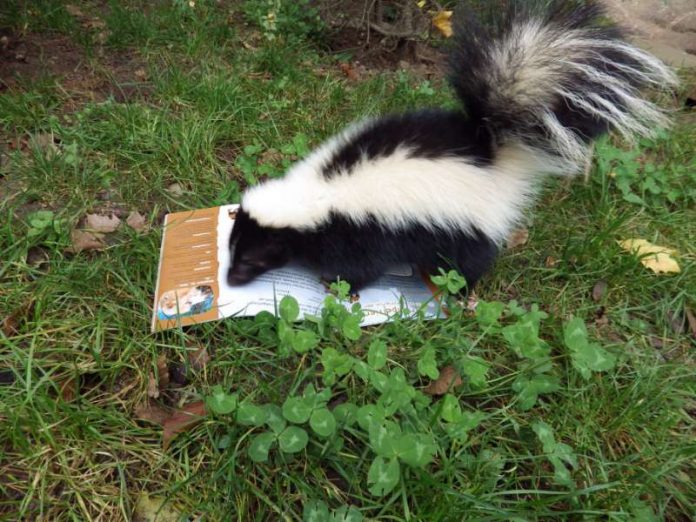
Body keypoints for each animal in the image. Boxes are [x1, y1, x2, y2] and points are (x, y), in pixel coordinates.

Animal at [227, 0, 676, 290]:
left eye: (252, 257)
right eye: (231, 247)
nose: (230, 280)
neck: (316, 193)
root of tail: (490, 152)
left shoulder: (360, 231)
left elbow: (358, 268)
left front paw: (337, 286)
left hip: (466, 229)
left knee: (471, 262)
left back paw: (463, 291)